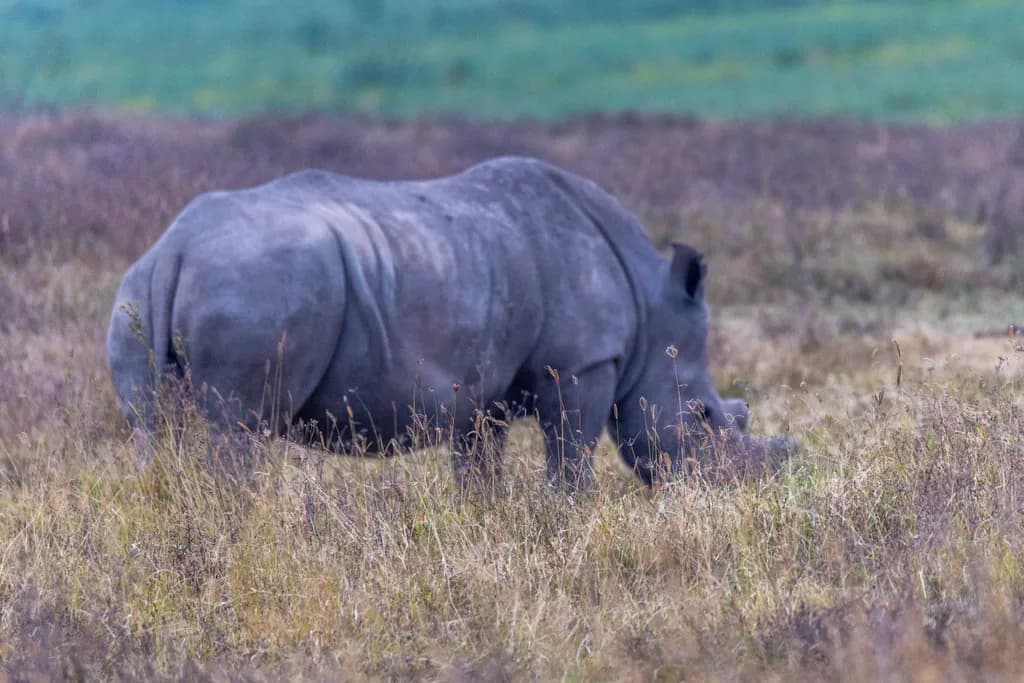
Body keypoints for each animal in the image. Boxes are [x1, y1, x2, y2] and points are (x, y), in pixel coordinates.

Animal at [108, 156, 790, 488]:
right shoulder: (583, 364)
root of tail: (175, 249)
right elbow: (570, 459)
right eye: (703, 415)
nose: (732, 489)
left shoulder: (483, 390)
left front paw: (488, 523)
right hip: (258, 284)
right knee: (240, 432)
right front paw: (565, 520)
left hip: (136, 294)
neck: (652, 309)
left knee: (151, 429)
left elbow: (477, 468)